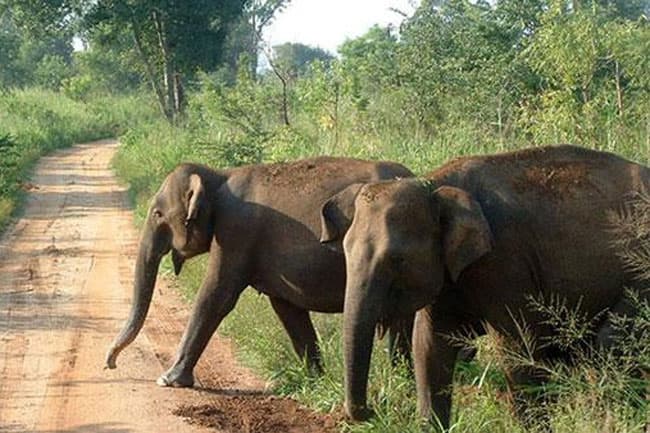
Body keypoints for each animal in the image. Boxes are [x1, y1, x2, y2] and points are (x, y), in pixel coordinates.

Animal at [105, 156, 413, 387]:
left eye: (157, 214)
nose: (110, 363)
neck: (218, 176)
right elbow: (286, 307)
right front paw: (317, 381)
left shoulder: (235, 232)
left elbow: (215, 295)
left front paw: (168, 380)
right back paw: (404, 383)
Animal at [319, 145, 650, 427]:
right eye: (344, 251)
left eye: (397, 259)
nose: (372, 409)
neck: (434, 184)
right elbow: (428, 348)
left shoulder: (506, 262)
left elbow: (518, 349)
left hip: (641, 279)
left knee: (611, 345)